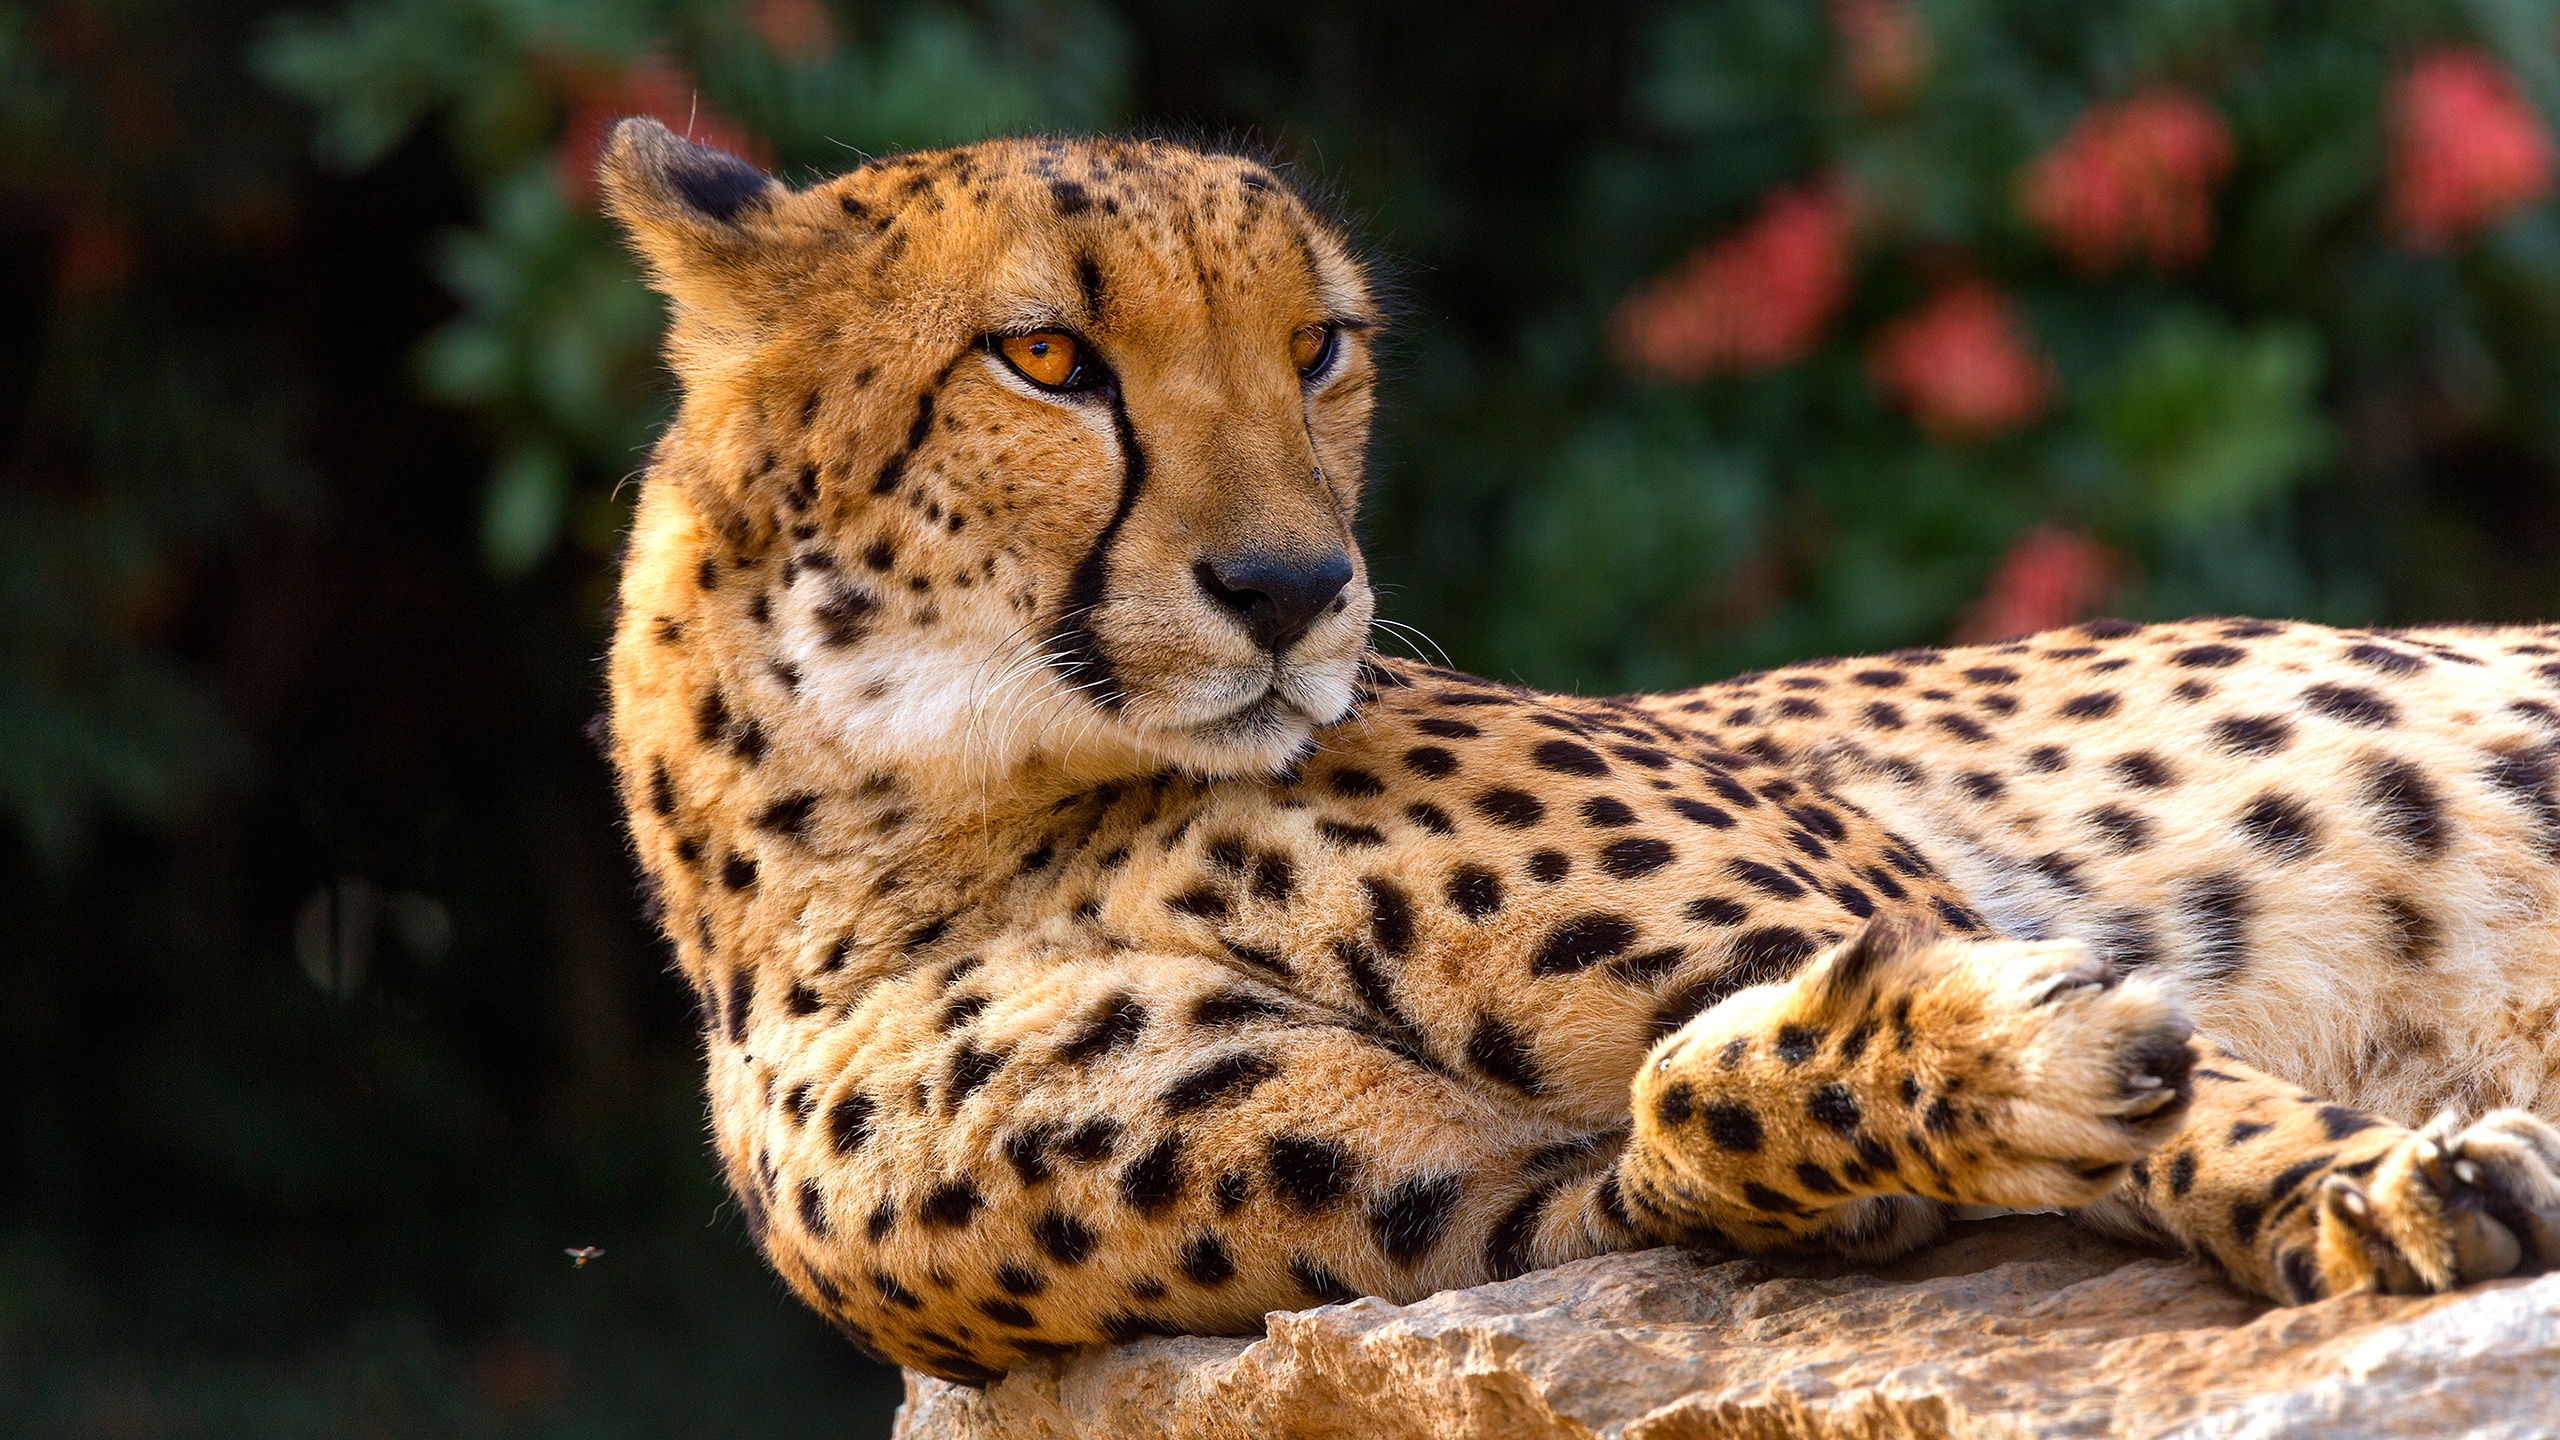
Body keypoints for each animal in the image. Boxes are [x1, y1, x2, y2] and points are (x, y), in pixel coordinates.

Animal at [588, 117, 2560, 1373]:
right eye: (1047, 356)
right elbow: (1692, 1117)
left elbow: (1742, 1058)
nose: (1296, 588)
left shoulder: (1874, 908)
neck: (931, 815)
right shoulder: (1489, 1235)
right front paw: (2049, 1073)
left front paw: (2372, 1178)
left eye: (1319, 347)